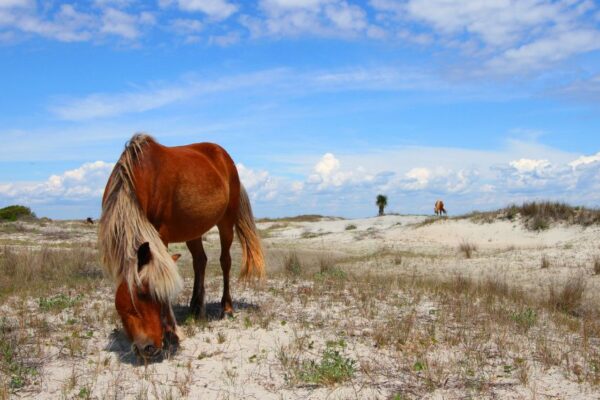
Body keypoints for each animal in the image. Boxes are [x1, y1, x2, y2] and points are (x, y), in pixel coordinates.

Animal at [99, 134, 264, 360]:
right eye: (140, 295)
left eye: (147, 292)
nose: (148, 347)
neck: (141, 175)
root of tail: (224, 157)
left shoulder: (161, 234)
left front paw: (171, 332)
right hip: (193, 230)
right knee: (200, 261)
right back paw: (195, 307)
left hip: (225, 223)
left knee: (225, 262)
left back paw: (226, 308)